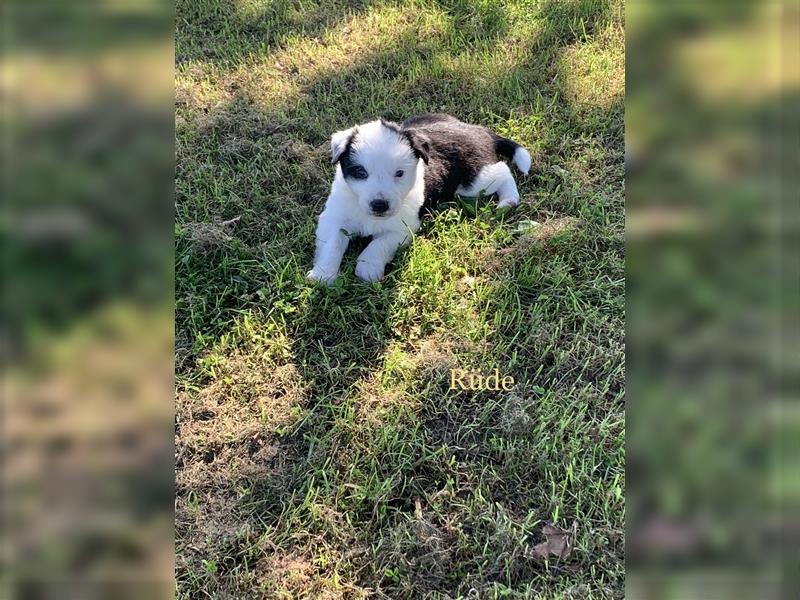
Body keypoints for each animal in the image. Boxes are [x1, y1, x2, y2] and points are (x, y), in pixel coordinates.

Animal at [308, 113, 532, 284]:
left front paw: (368, 267)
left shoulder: (403, 228)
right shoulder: (333, 219)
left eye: (399, 173)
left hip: (473, 183)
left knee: (502, 170)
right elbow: (331, 245)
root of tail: (478, 130)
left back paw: (508, 200)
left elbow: (379, 244)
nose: (380, 205)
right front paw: (323, 274)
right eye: (361, 172)